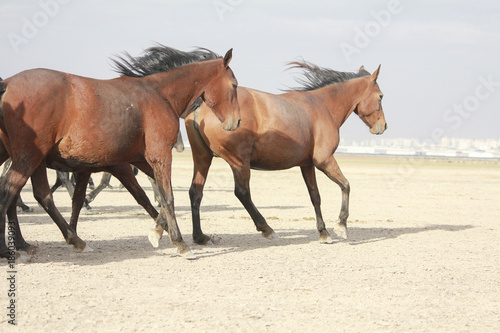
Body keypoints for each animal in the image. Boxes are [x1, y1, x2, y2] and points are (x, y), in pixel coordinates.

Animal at [0, 46, 240, 260]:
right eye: (235, 85)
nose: (236, 122)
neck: (160, 94)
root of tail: (7, 83)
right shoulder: (158, 155)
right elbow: (167, 196)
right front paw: (180, 243)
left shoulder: (140, 160)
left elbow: (154, 195)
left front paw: (157, 232)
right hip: (29, 157)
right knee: (9, 190)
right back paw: (13, 248)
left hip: (32, 159)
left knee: (37, 194)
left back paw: (57, 241)